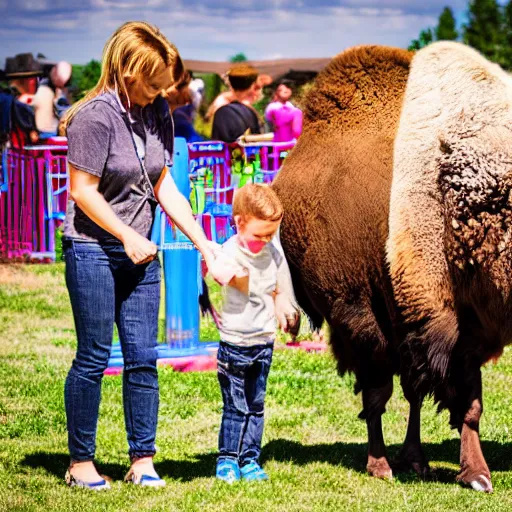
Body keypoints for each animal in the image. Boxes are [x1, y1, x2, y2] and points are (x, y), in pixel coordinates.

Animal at [272, 43, 512, 492]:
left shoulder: (455, 330)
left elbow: (465, 403)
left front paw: (475, 474)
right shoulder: (364, 318)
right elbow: (379, 394)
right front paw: (380, 465)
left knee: (413, 390)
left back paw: (416, 460)